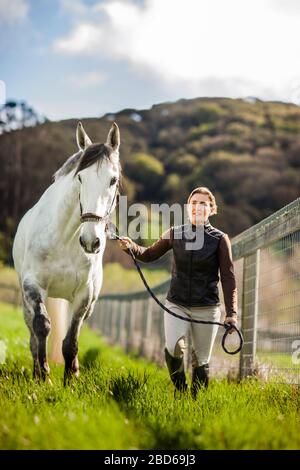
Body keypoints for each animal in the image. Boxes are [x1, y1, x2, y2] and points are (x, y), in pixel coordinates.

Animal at [12, 121, 120, 382]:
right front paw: (43, 376)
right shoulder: (33, 286)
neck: (65, 238)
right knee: (33, 332)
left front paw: (70, 380)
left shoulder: (84, 295)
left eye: (113, 180)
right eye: (80, 177)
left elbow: (71, 341)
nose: (91, 241)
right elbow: (42, 326)